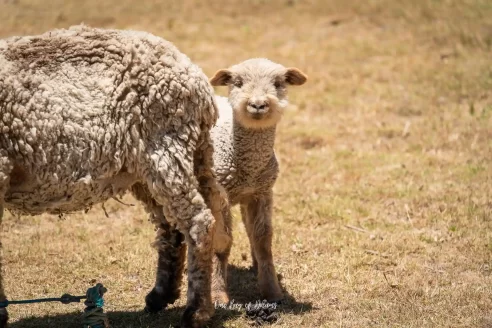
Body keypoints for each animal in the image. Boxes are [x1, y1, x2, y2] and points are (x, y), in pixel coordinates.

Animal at [0, 25, 226, 328]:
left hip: (165, 146)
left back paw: (196, 311)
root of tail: (194, 76)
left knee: (197, 222)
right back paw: (160, 296)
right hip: (149, 167)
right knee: (171, 226)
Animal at [142, 58, 308, 312]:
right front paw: (219, 293)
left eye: (278, 83)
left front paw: (272, 290)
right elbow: (223, 243)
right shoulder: (221, 195)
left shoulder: (261, 192)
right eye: (237, 83)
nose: (257, 104)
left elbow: (263, 239)